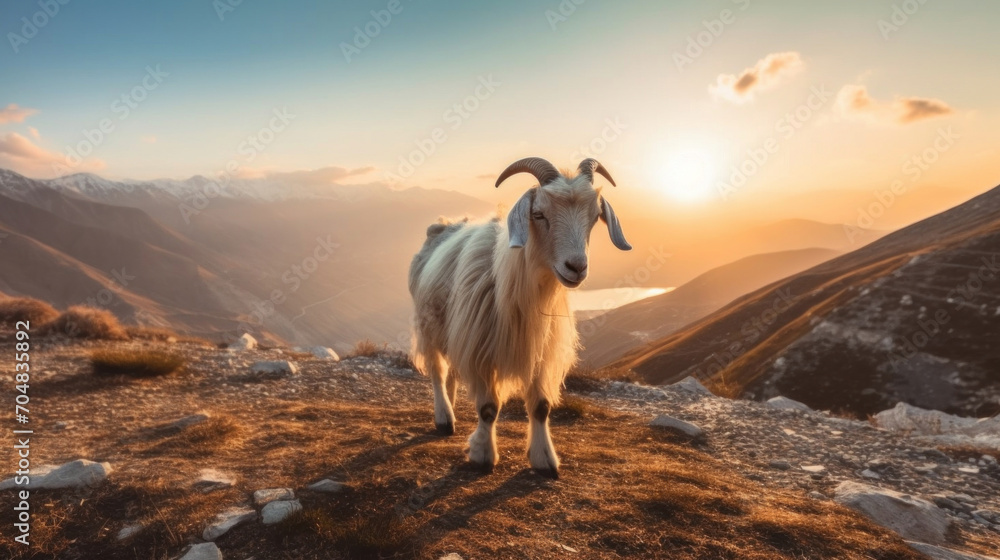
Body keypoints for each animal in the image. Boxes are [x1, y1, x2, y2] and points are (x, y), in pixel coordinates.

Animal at [408, 157, 631, 478]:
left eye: (594, 217)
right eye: (538, 214)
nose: (576, 267)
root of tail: (444, 224)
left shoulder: (541, 352)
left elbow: (540, 407)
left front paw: (544, 459)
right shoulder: (481, 351)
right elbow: (488, 408)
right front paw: (483, 455)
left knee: (450, 371)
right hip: (427, 325)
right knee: (437, 371)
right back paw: (444, 417)